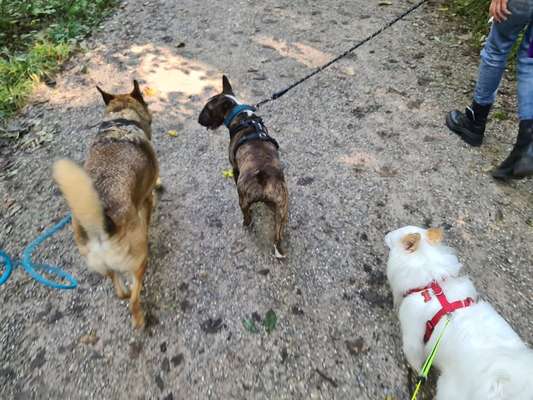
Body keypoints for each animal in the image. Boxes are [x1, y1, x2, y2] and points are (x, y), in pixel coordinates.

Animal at [53, 80, 159, 328]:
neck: (121, 119)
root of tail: (100, 227)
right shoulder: (147, 197)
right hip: (138, 261)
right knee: (133, 299)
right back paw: (140, 320)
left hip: (103, 265)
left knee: (118, 287)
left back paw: (123, 293)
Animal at [197, 76, 286, 256]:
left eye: (208, 109)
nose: (198, 119)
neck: (242, 116)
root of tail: (264, 178)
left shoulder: (234, 168)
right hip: (282, 207)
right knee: (278, 233)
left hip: (244, 200)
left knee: (247, 215)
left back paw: (246, 223)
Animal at [384, 227, 528, 398]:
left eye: (393, 235)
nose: (385, 234)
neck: (431, 283)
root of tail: (500, 386)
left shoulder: (412, 335)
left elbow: (414, 357)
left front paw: (417, 374)